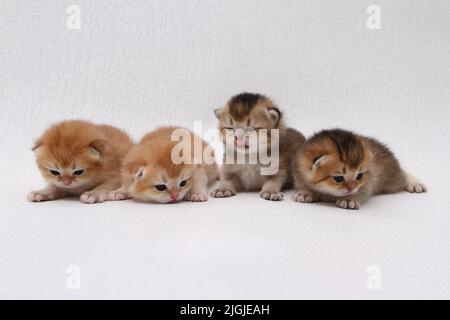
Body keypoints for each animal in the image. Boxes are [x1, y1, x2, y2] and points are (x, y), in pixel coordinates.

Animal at [294, 129, 428, 209]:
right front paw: (305, 193)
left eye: (359, 176)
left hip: (392, 178)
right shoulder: (299, 175)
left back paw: (415, 184)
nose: (351, 188)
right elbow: (305, 186)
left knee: (403, 175)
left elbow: (361, 192)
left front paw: (349, 199)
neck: (327, 192)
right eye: (338, 178)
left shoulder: (367, 185)